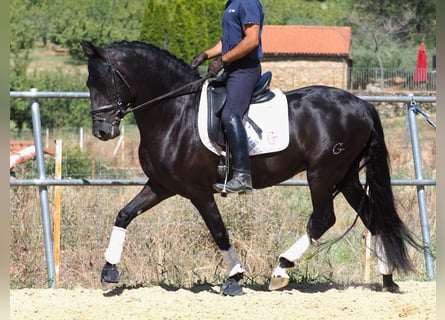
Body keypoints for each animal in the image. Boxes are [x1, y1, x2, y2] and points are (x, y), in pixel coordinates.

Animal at [81, 41, 418, 296]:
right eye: (88, 84)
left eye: (106, 82)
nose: (102, 132)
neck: (175, 113)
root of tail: (362, 104)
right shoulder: (162, 185)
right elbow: (124, 214)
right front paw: (109, 270)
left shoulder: (197, 190)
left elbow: (218, 231)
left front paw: (234, 278)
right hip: (345, 177)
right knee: (372, 217)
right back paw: (387, 279)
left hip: (322, 174)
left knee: (323, 218)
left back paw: (281, 270)